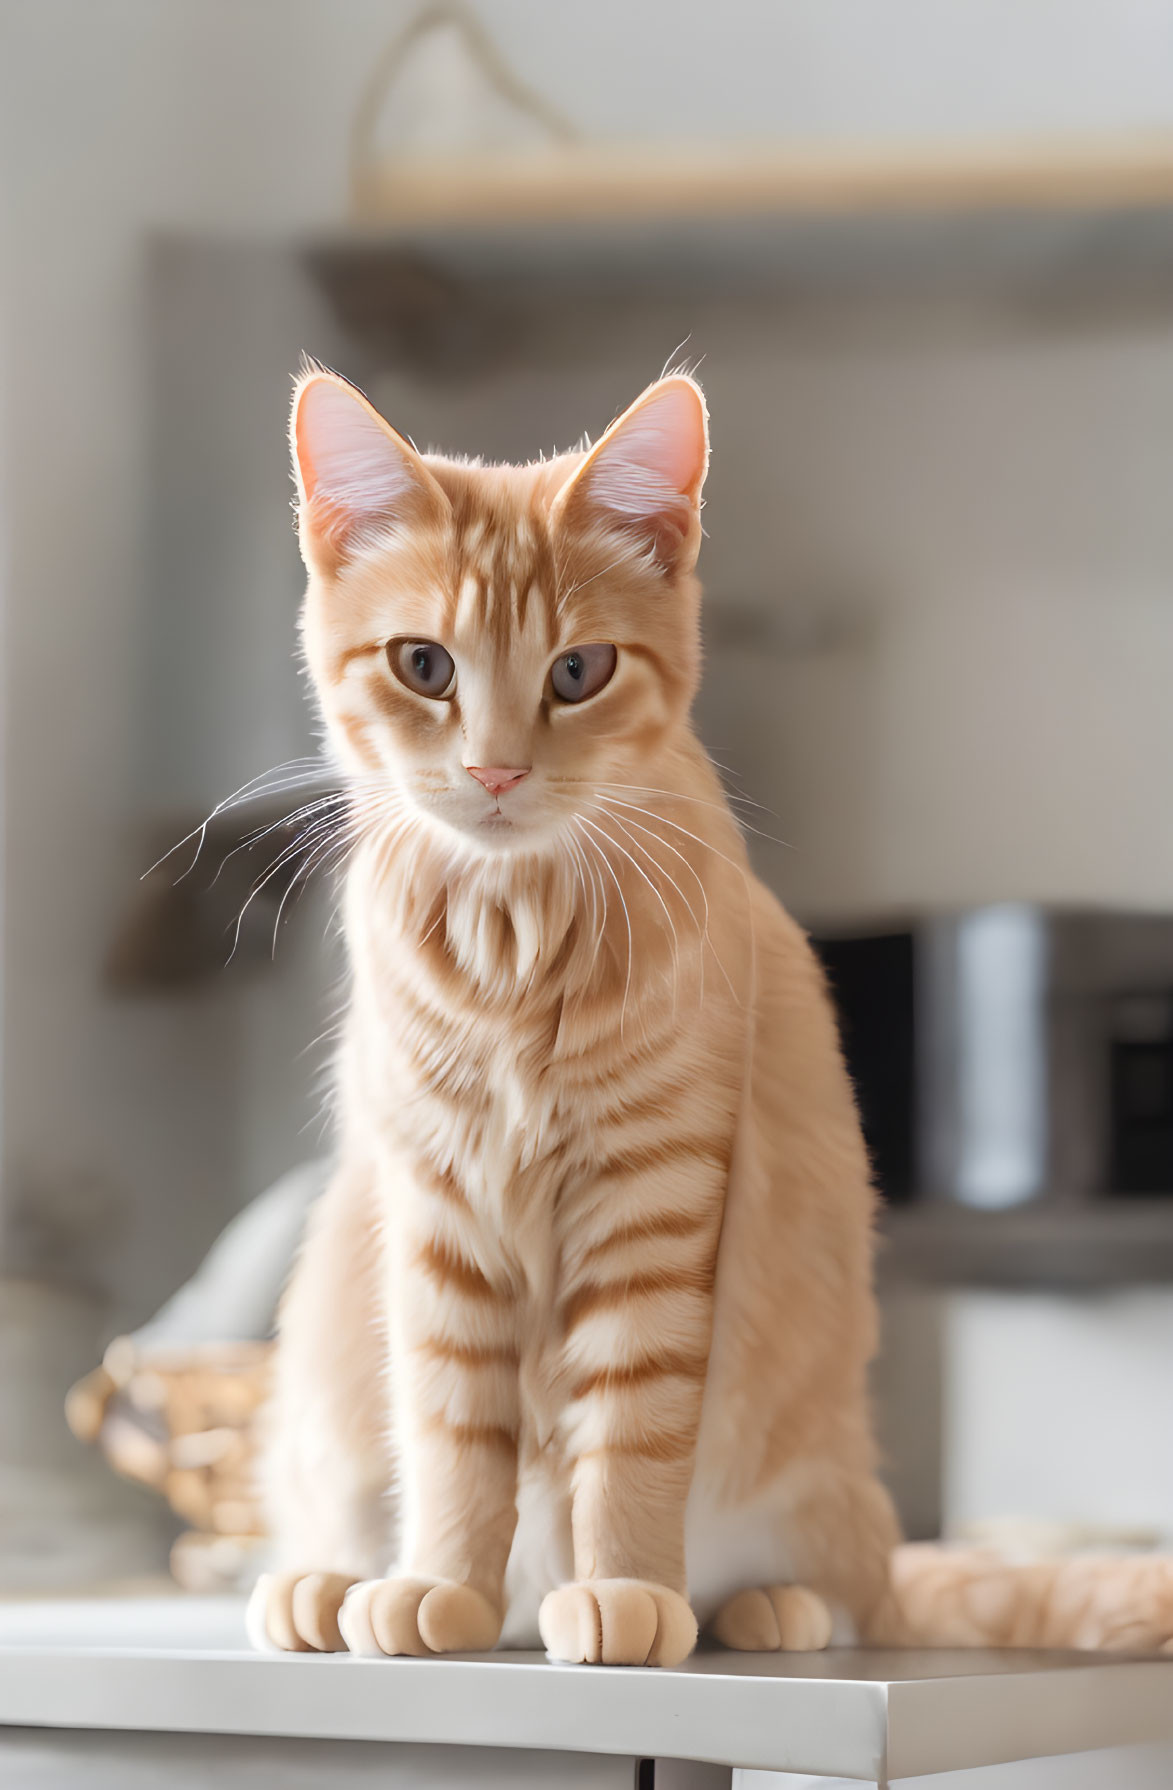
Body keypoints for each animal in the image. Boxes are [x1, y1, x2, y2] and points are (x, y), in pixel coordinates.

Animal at [247, 363, 1173, 1661]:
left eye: (577, 671)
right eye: (424, 665)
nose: (495, 770)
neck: (514, 937)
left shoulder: (655, 1190)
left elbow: (627, 1435)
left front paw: (628, 1587)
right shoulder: (434, 1198)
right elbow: (452, 1432)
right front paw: (443, 1583)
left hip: (828, 1489)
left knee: (856, 1590)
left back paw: (763, 1604)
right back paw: (331, 1584)